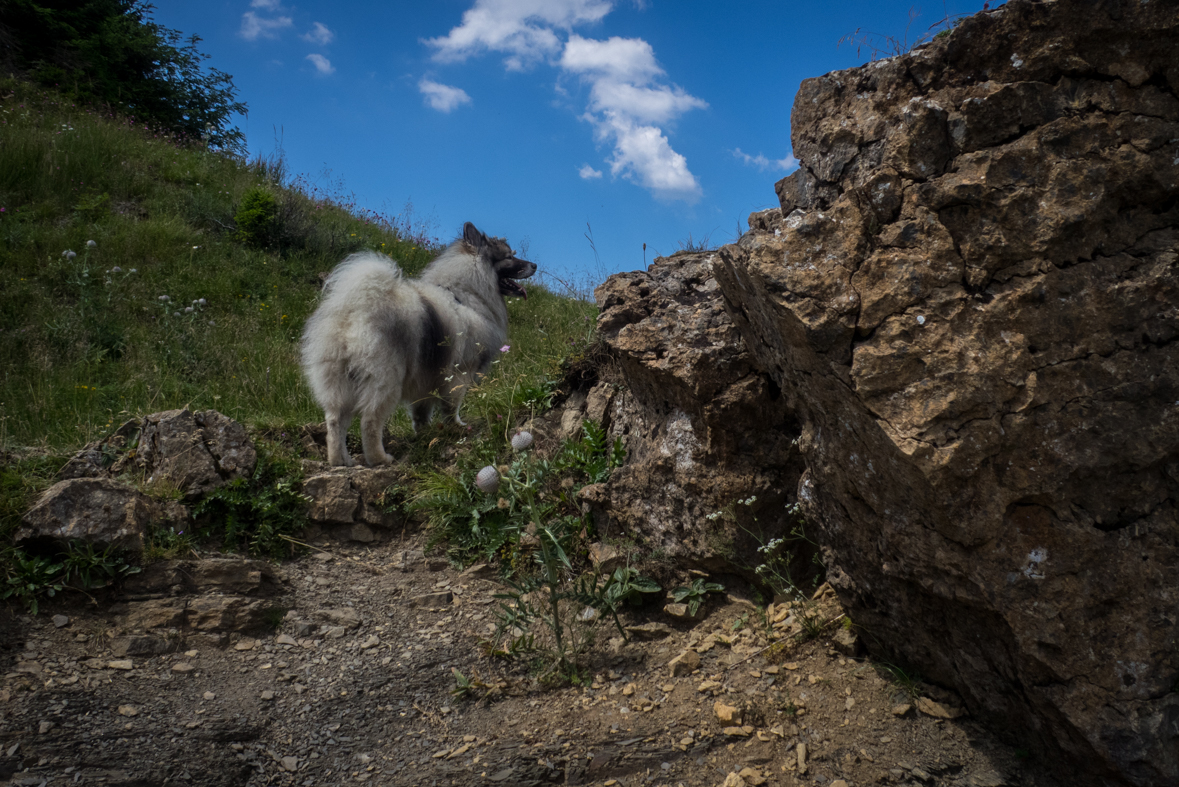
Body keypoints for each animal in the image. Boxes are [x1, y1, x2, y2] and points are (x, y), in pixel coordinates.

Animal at [299, 221, 535, 466]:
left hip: (339, 382)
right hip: (385, 381)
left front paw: (425, 432)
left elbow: (421, 412)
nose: (535, 265)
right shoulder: (460, 374)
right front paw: (457, 427)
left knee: (335, 421)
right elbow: (452, 407)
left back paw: (341, 460)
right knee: (369, 421)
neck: (467, 295)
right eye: (509, 257)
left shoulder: (426, 380)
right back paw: (380, 458)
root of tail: (355, 313)